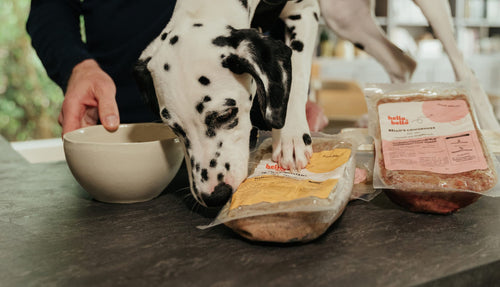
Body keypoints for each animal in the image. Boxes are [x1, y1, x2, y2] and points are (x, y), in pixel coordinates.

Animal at [134, 0, 320, 207]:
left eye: (225, 115)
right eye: (174, 128)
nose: (214, 196)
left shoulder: (304, 10)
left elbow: (297, 72)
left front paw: (291, 136)